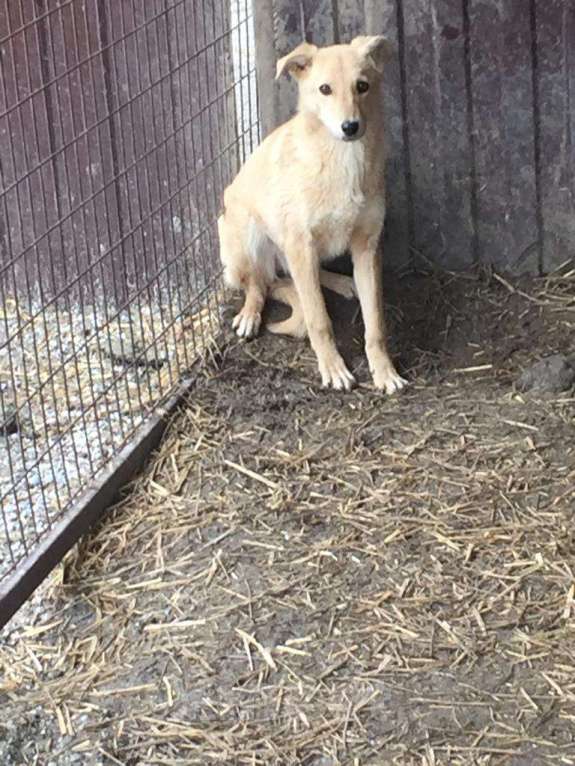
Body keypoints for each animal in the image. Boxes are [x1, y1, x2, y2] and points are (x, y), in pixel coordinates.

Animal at [218, 35, 408, 392]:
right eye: (324, 89)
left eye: (362, 86)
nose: (350, 126)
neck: (342, 160)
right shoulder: (300, 244)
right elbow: (318, 319)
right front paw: (333, 368)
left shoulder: (367, 246)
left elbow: (375, 324)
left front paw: (384, 371)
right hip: (244, 234)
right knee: (259, 284)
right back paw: (250, 314)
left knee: (296, 277)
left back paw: (341, 282)